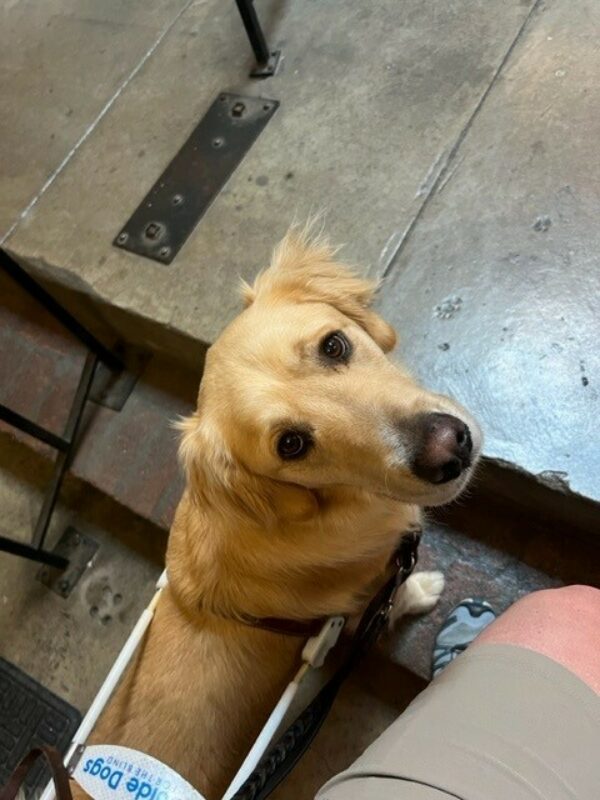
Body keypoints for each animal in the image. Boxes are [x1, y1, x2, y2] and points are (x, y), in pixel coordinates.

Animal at [79, 228, 482, 796]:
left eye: (334, 345)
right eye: (291, 445)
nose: (449, 449)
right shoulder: (361, 603)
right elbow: (395, 597)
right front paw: (424, 589)